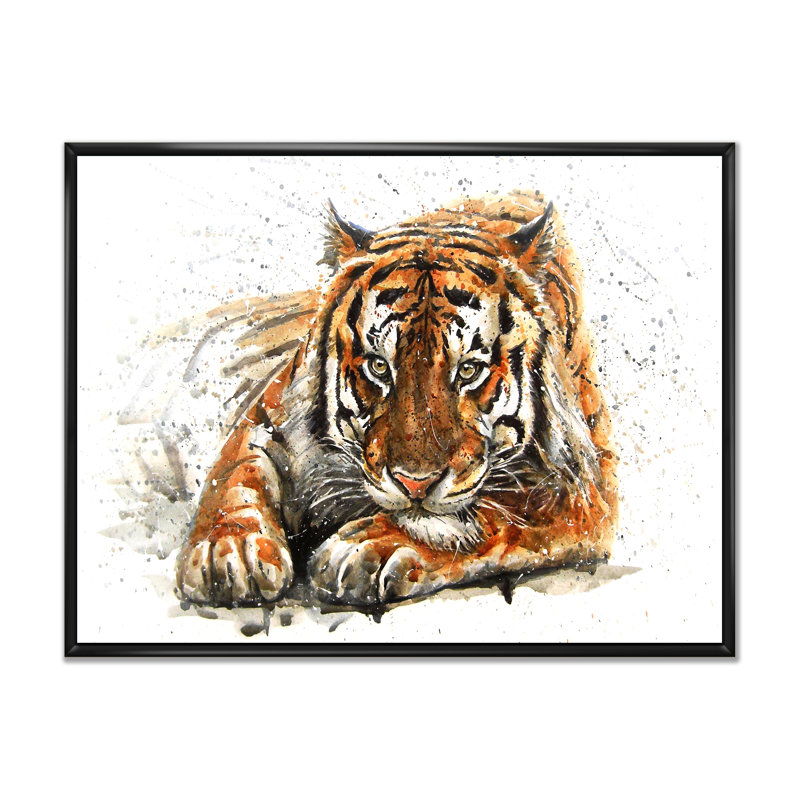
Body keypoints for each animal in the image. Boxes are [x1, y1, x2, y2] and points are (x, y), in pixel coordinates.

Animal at [175, 189, 618, 608]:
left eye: (469, 371)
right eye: (379, 367)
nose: (414, 484)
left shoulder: (582, 487)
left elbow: (493, 513)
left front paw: (370, 547)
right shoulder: (270, 412)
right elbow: (235, 472)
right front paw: (228, 549)